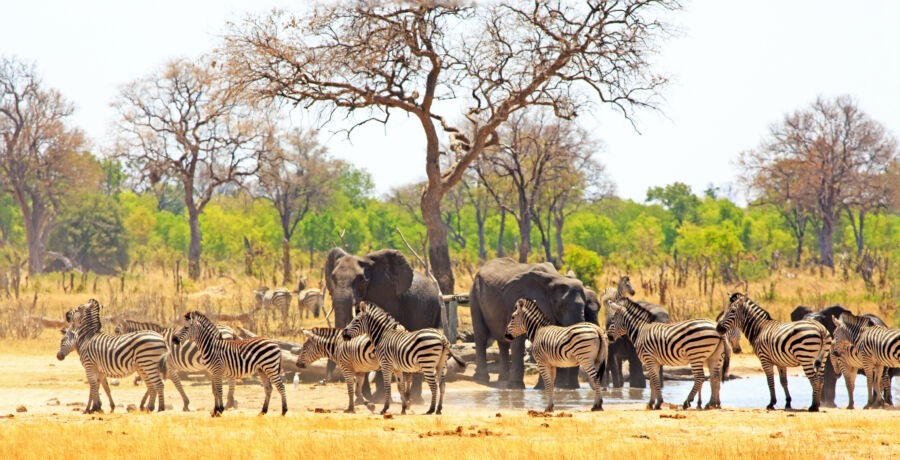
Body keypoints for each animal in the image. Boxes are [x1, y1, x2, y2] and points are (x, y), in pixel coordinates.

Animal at [324, 246, 442, 400]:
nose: (324, 380)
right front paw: (366, 397)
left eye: (361, 279)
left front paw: (378, 397)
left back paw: (416, 399)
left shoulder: (386, 298)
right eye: (333, 277)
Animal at [468, 256, 600, 390]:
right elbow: (518, 342)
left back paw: (503, 379)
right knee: (481, 336)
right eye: (561, 305)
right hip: (474, 295)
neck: (554, 278)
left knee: (503, 341)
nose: (572, 388)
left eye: (584, 305)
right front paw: (516, 387)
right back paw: (482, 378)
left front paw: (541, 388)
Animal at [604, 294, 732, 410]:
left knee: (700, 378)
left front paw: (657, 403)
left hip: (696, 354)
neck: (641, 330)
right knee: (715, 378)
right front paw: (652, 403)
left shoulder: (649, 359)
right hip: (714, 357)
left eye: (613, 319)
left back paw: (687, 402)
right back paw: (712, 404)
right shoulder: (654, 361)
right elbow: (653, 382)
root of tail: (716, 327)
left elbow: (654, 381)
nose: (608, 337)